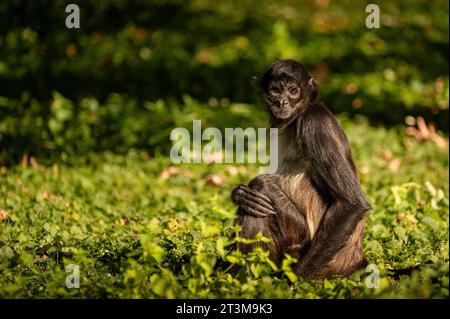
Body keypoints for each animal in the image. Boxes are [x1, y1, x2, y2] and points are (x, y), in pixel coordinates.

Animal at [230, 60, 370, 280]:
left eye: (294, 92)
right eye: (276, 90)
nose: (282, 103)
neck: (300, 114)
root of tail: (354, 257)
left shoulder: (314, 123)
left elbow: (352, 204)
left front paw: (297, 281)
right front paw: (239, 193)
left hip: (302, 245)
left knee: (260, 191)